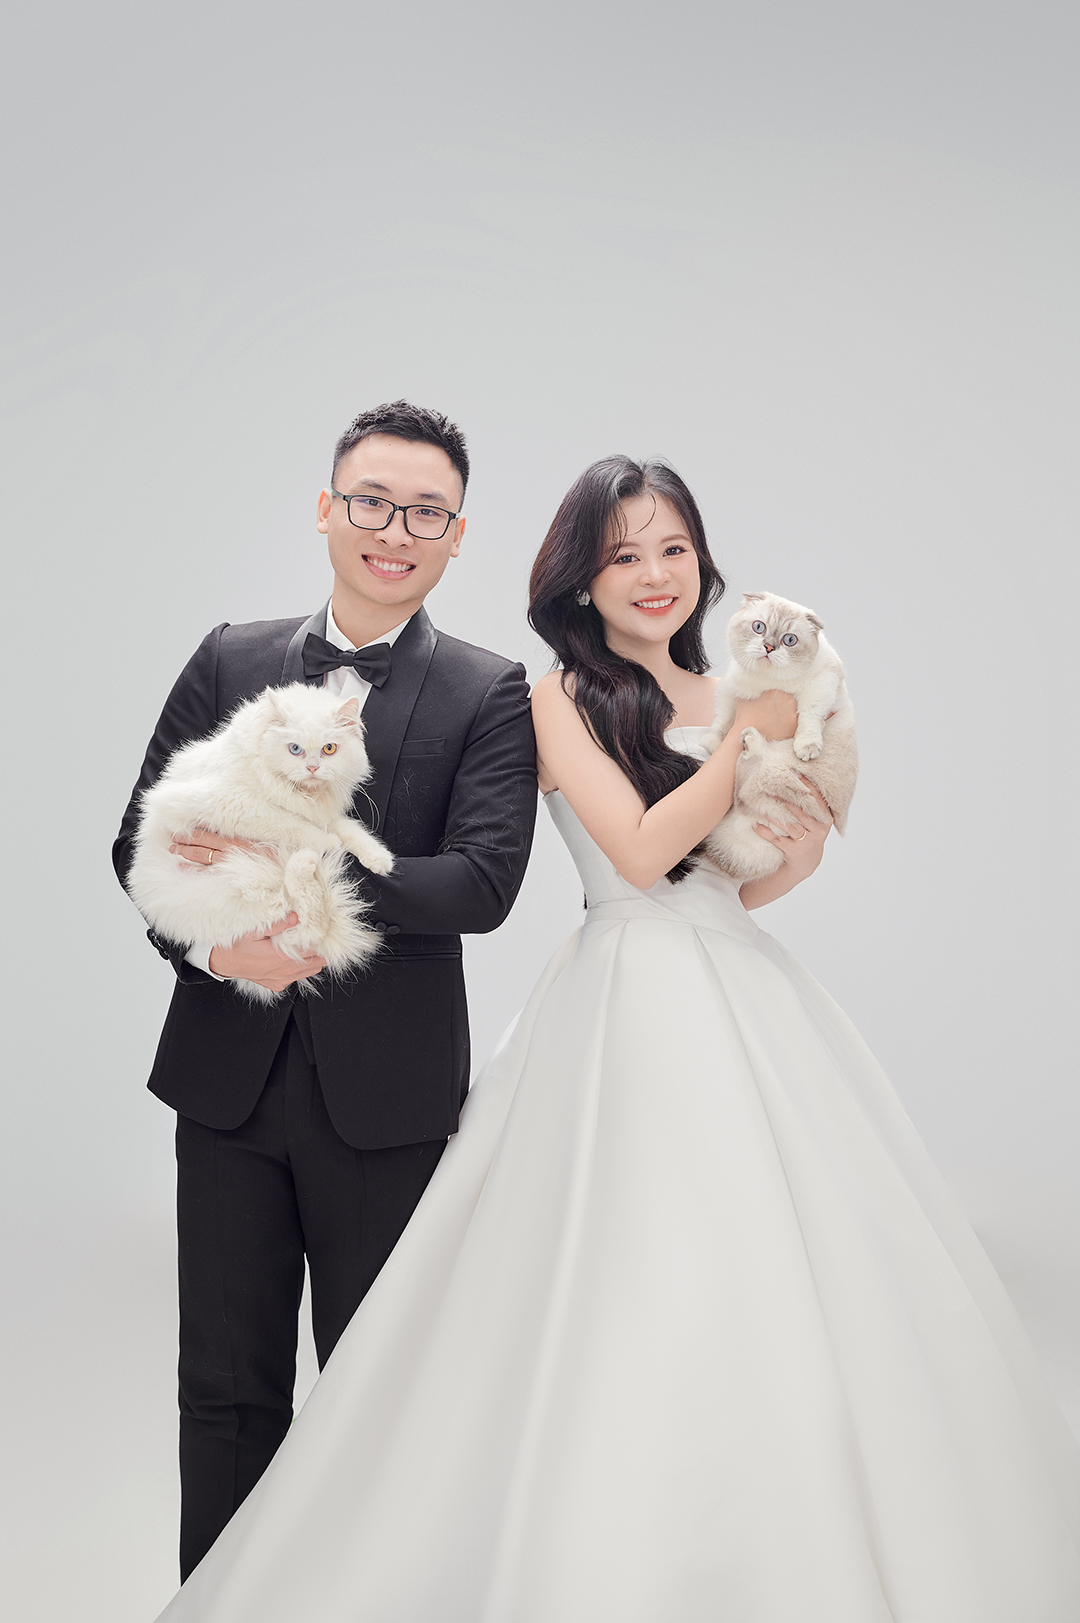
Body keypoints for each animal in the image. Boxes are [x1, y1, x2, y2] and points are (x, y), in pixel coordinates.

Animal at [127, 683, 395, 1003]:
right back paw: (305, 862)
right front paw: (329, 845)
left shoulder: (324, 815)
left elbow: (351, 831)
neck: (304, 795)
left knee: (311, 925)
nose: (313, 768)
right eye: (295, 749)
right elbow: (295, 826)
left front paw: (380, 860)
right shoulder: (232, 804)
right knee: (309, 924)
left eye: (329, 749)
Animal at [699, 592, 858, 882]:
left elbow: (809, 716)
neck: (767, 684)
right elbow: (723, 718)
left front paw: (806, 747)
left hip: (778, 769)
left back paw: (751, 742)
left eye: (789, 640)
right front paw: (713, 743)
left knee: (745, 795)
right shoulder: (730, 689)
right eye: (758, 627)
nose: (769, 647)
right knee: (741, 797)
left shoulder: (822, 684)